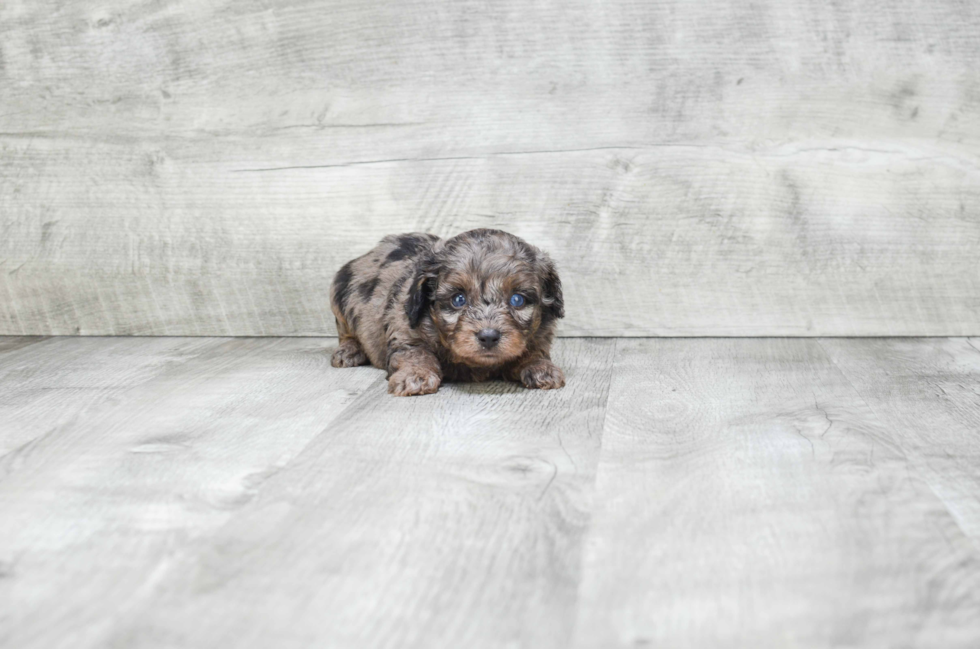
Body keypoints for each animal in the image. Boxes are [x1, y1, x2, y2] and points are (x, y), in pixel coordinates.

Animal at [334, 230, 568, 398]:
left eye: (517, 300)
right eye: (458, 299)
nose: (489, 337)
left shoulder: (540, 335)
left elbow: (533, 351)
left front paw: (540, 368)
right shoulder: (404, 329)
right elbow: (415, 353)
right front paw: (416, 375)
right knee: (345, 333)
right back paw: (349, 351)